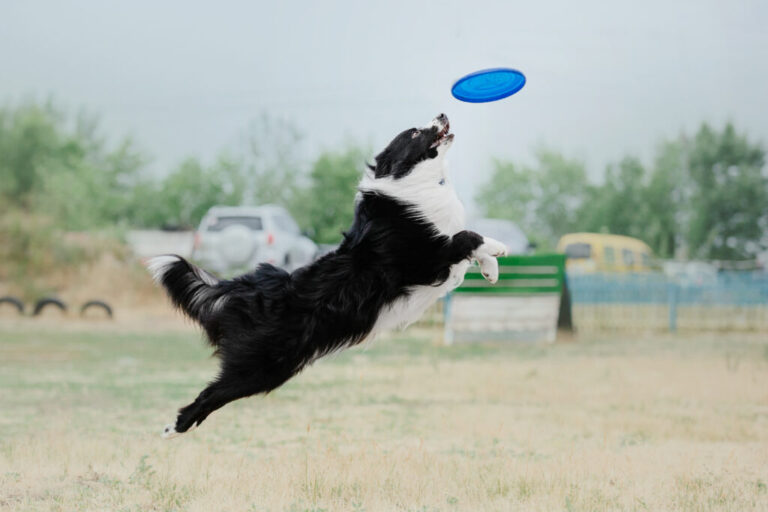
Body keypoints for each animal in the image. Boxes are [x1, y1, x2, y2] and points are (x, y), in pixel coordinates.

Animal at [147, 114, 508, 438]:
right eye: (415, 132)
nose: (442, 114)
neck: (412, 183)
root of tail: (247, 289)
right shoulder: (425, 260)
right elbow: (466, 235)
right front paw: (497, 248)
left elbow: (467, 242)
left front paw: (490, 268)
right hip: (261, 366)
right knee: (209, 394)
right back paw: (172, 428)